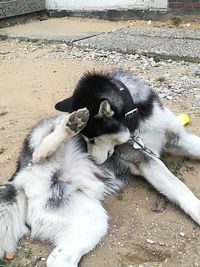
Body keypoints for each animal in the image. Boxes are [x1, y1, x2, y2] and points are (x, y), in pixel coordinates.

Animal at [55, 69, 200, 226]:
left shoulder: (177, 137)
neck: (135, 119)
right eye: (84, 139)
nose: (91, 160)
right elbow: (178, 185)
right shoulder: (143, 157)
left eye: (92, 140)